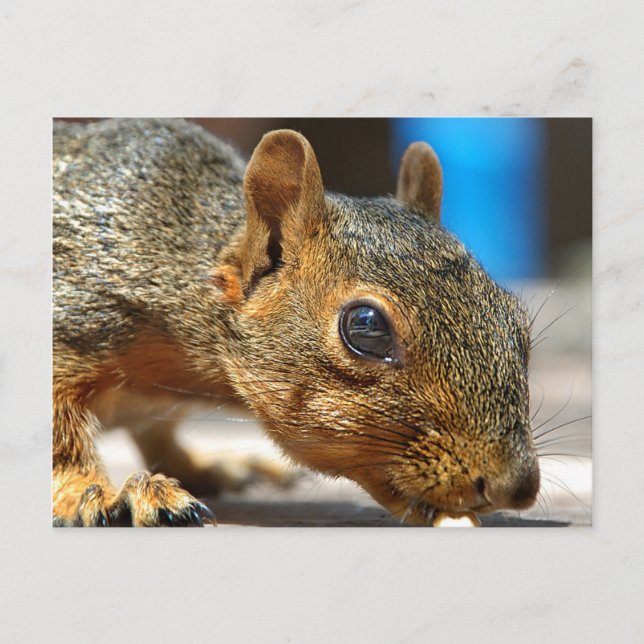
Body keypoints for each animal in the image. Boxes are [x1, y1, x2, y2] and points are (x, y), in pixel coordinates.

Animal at [52, 118, 540, 527]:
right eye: (366, 326)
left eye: (515, 321)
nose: (517, 487)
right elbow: (61, 439)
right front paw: (93, 494)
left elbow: (156, 432)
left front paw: (194, 468)